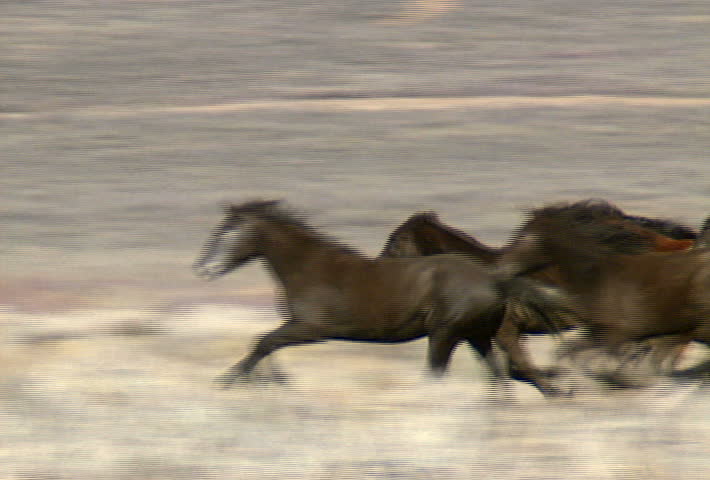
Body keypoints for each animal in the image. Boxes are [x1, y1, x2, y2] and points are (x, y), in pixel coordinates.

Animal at [194, 200, 546, 391]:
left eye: (226, 231)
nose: (203, 268)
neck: (309, 267)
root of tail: (495, 280)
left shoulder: (311, 329)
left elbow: (263, 342)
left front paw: (228, 382)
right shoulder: (298, 327)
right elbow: (266, 345)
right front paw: (273, 381)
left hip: (444, 334)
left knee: (440, 373)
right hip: (476, 335)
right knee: (498, 377)